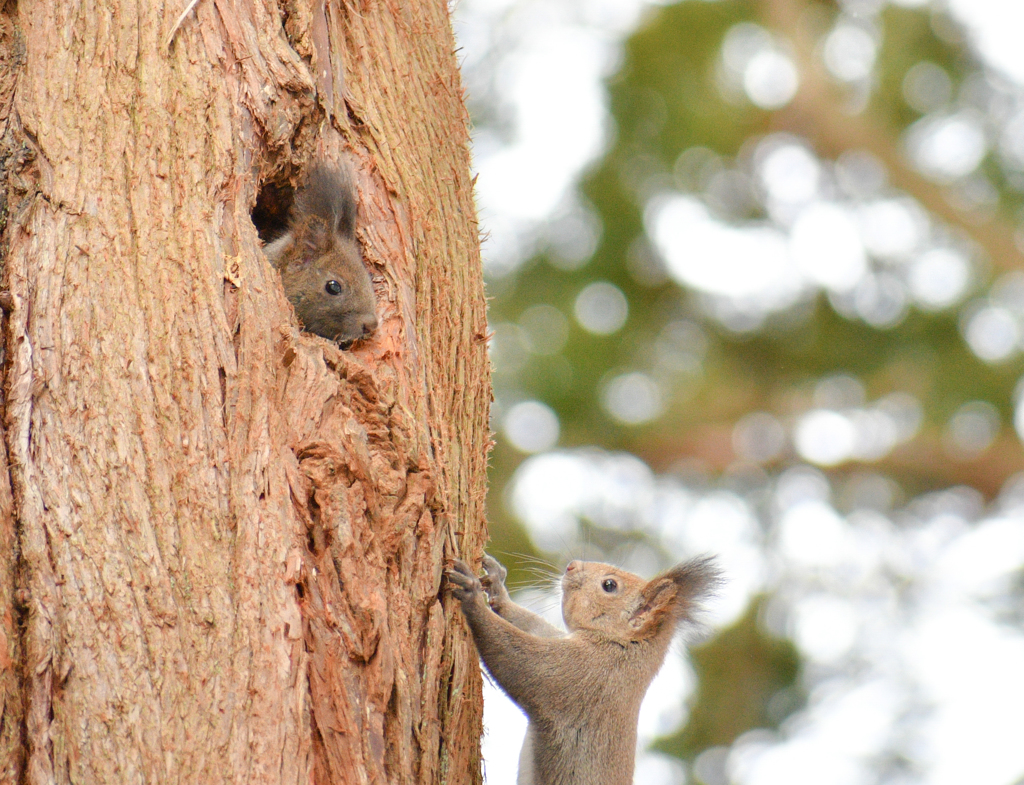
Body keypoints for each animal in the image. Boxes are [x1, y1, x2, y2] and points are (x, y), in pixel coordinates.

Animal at [448, 552, 720, 785]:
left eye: (609, 585)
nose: (571, 565)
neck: (622, 645)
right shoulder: (563, 641)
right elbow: (534, 625)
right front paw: (496, 585)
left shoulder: (579, 674)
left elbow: (517, 660)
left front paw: (472, 598)